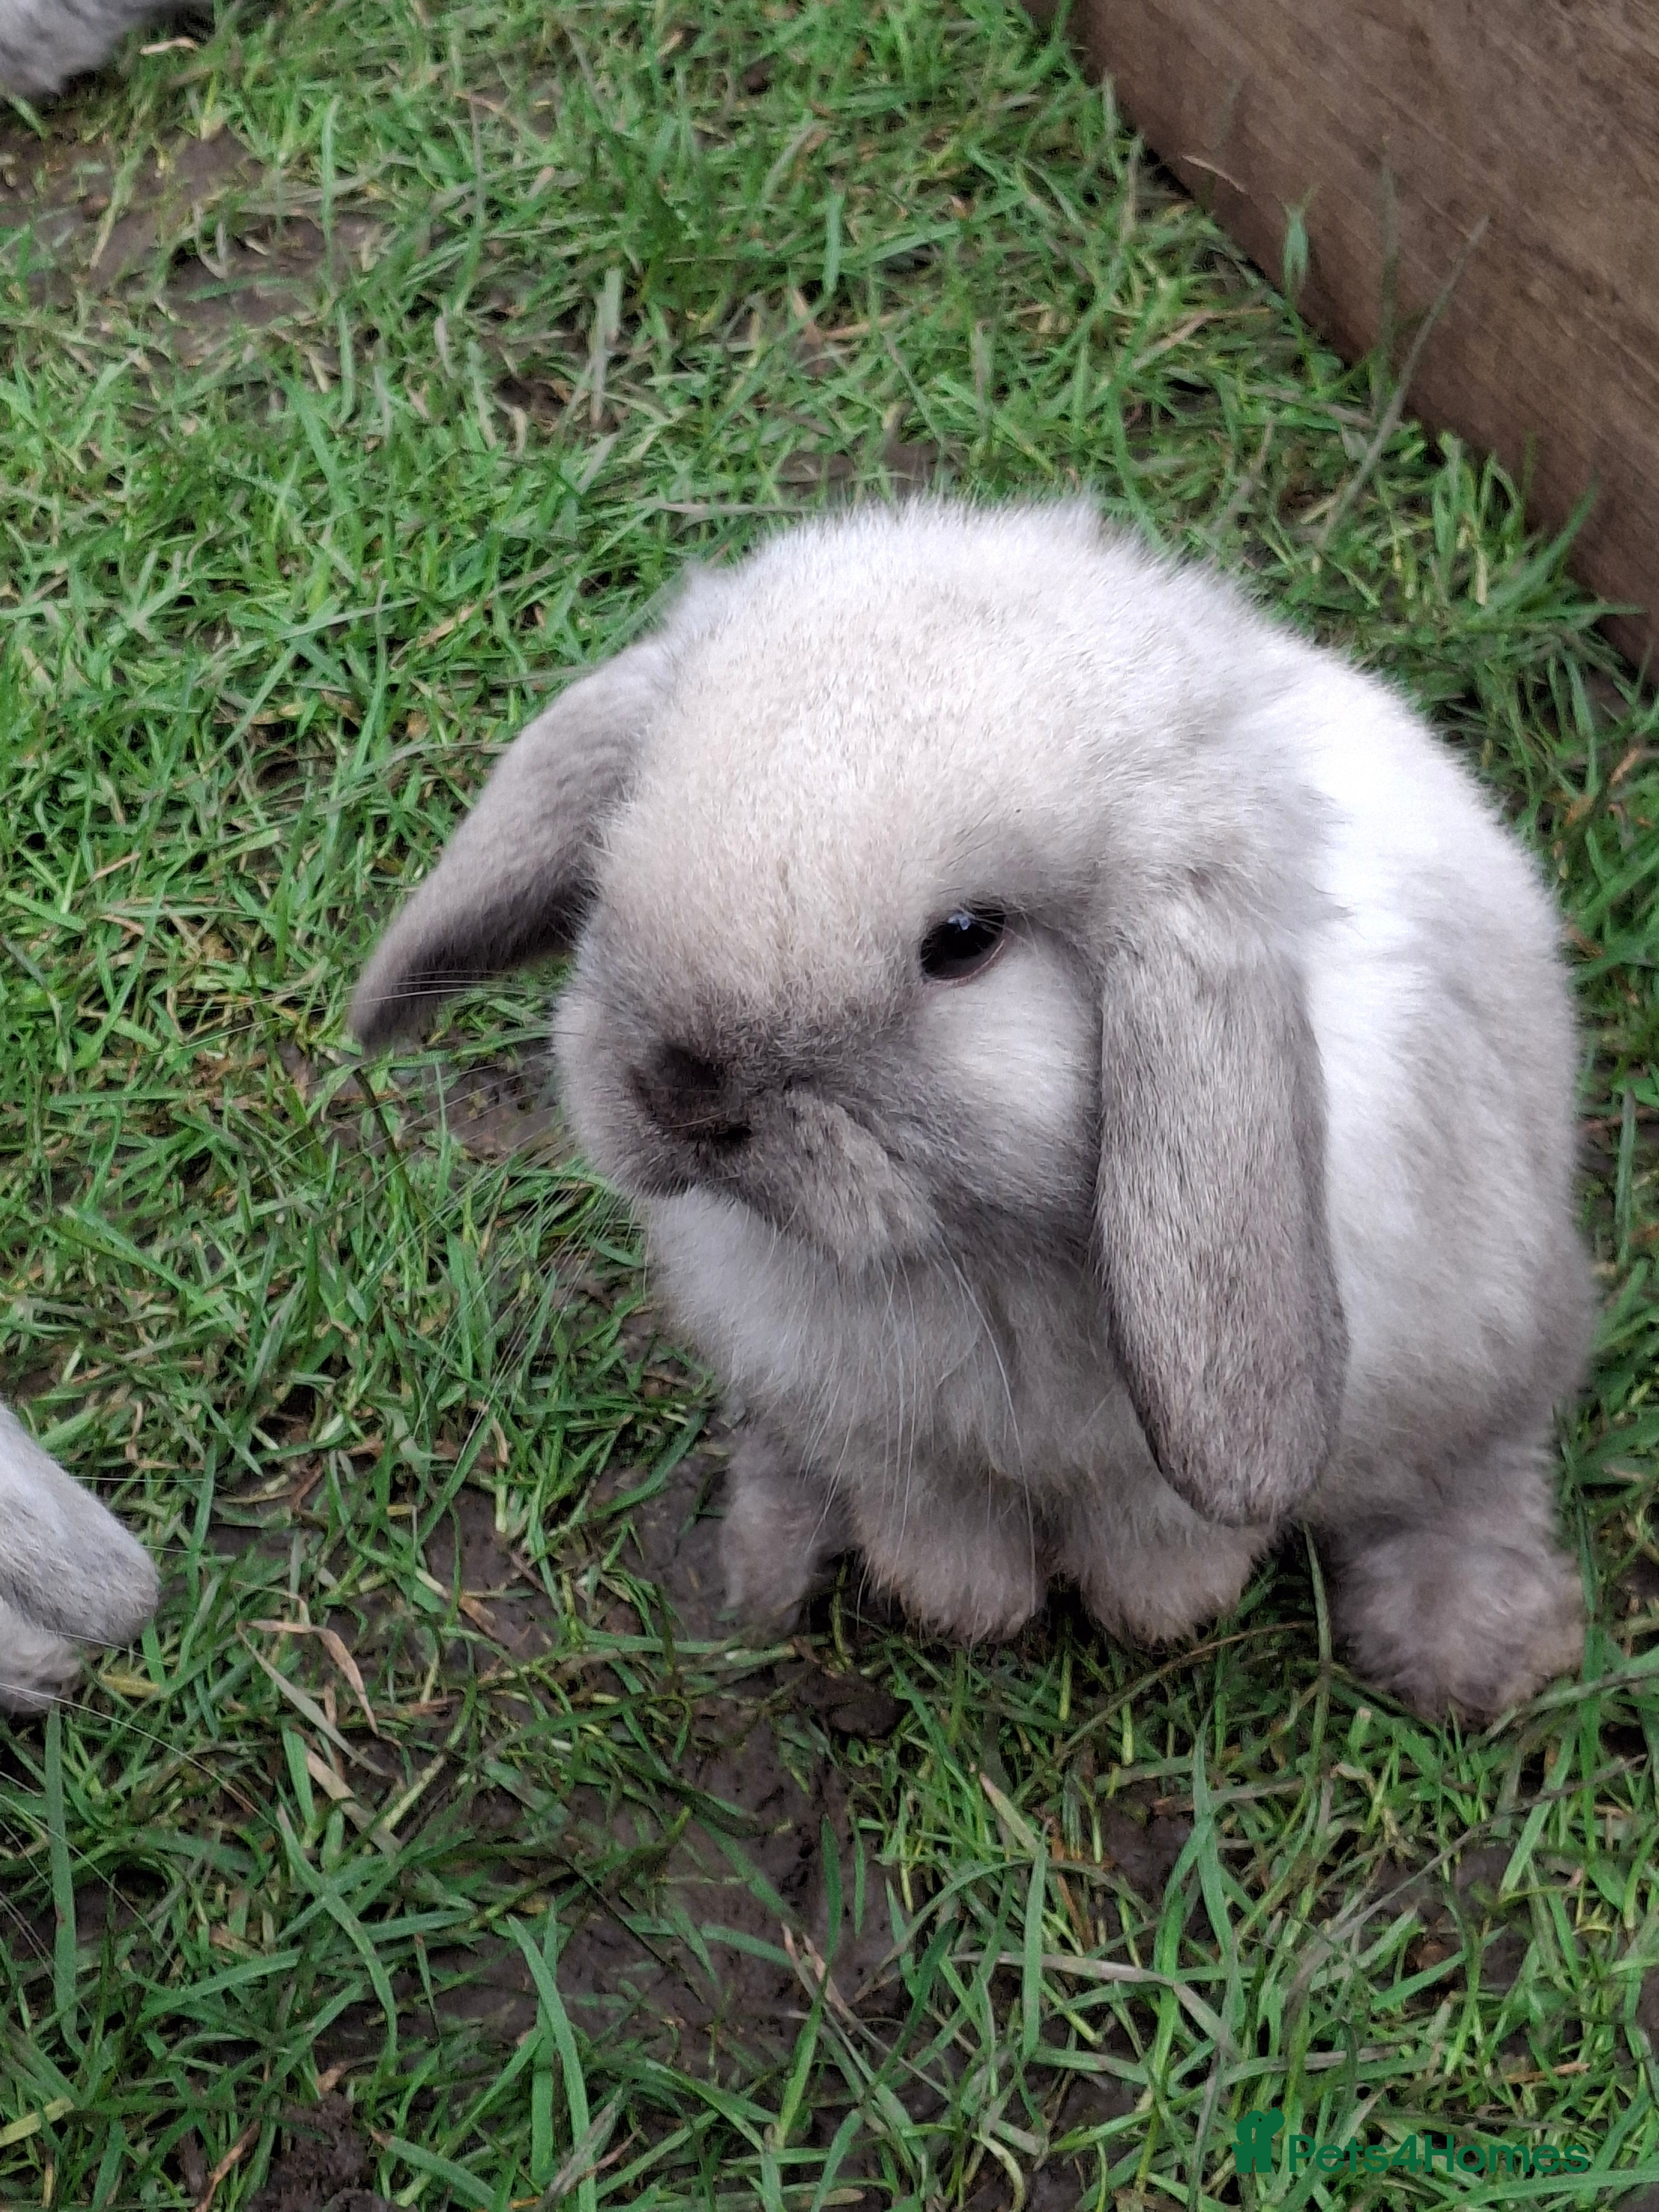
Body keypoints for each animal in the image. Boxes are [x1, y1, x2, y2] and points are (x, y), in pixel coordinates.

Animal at [350, 498, 1594, 1722]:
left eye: (963, 942)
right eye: (620, 830)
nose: (679, 1094)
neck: (967, 1252)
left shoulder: (1150, 1478)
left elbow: (1164, 1546)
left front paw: (1146, 1619)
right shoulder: (887, 1442)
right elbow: (939, 1533)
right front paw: (967, 1611)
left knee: (1474, 1475)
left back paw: (1471, 1656)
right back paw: (764, 1569)